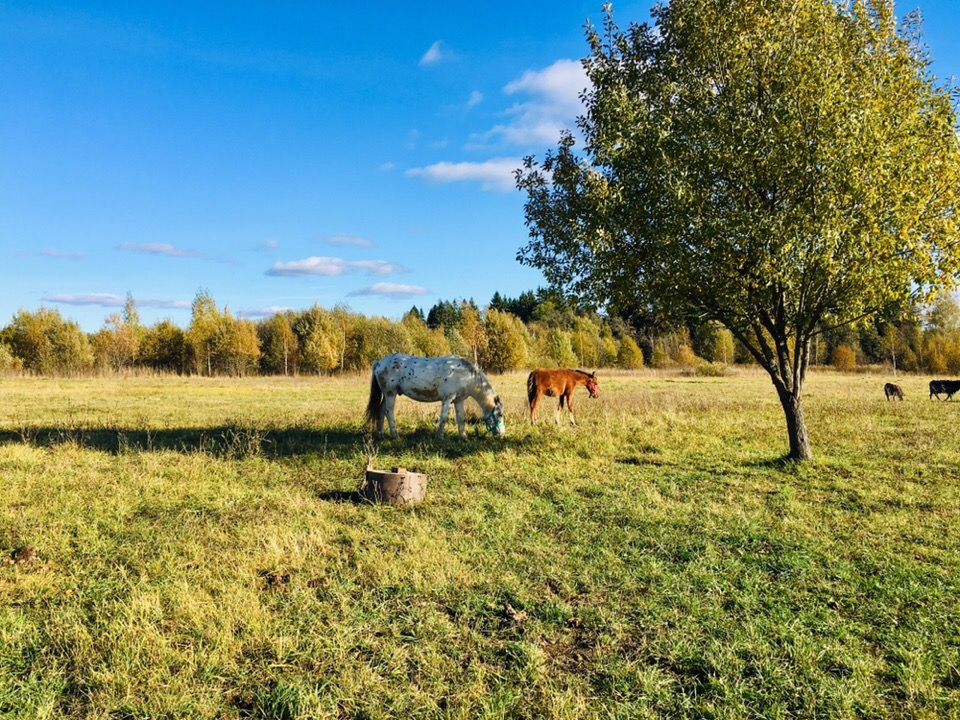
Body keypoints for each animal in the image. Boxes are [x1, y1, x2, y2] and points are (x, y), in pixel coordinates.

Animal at [364, 354, 506, 438]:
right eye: (499, 414)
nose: (502, 434)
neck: (465, 375)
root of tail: (379, 362)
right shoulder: (448, 399)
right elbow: (443, 418)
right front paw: (440, 437)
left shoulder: (459, 400)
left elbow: (460, 419)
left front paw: (464, 437)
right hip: (390, 393)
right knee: (389, 412)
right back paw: (395, 436)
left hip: (387, 394)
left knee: (382, 410)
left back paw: (380, 433)